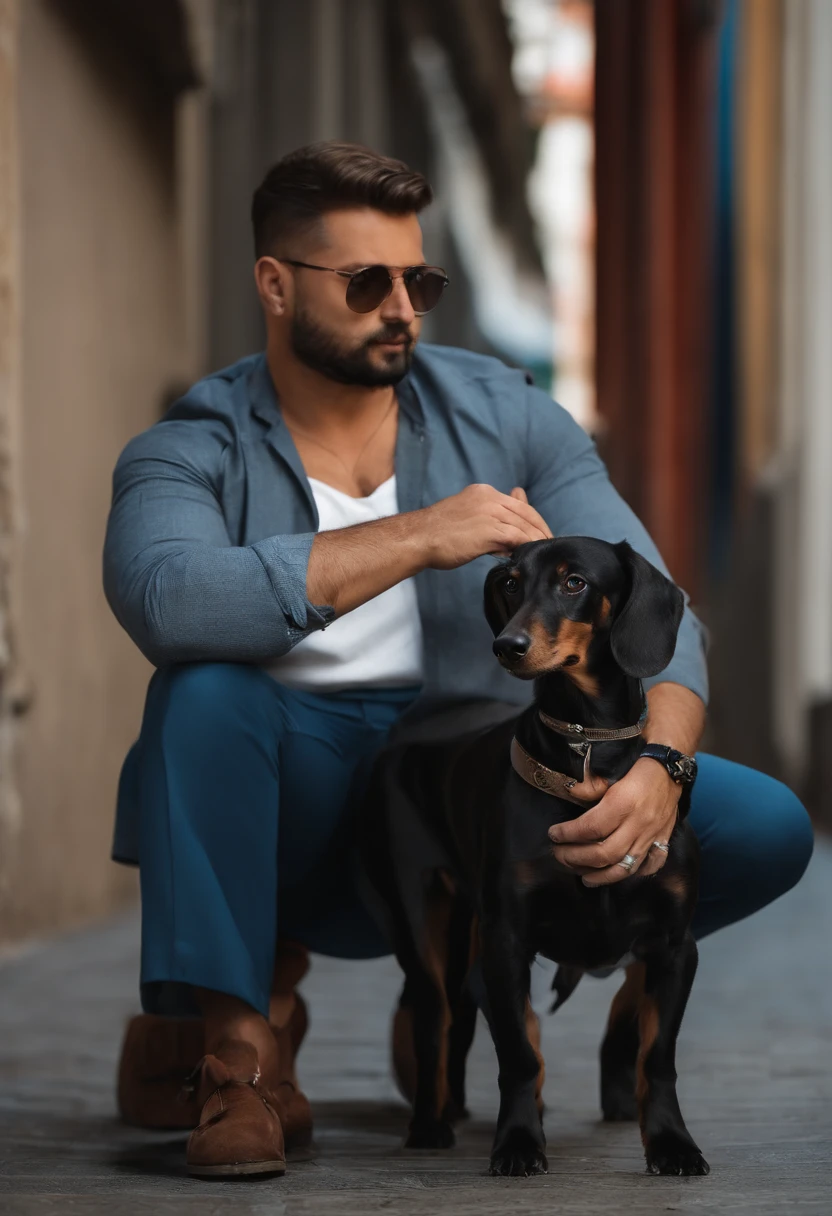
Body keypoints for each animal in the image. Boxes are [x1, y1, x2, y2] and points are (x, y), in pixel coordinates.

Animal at [362, 537, 710, 1172]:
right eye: (509, 582)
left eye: (575, 583)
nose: (508, 645)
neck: (587, 752)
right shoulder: (507, 941)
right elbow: (519, 1055)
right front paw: (519, 1142)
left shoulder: (675, 947)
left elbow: (658, 1057)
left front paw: (672, 1143)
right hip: (419, 918)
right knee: (435, 1016)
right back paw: (429, 1122)